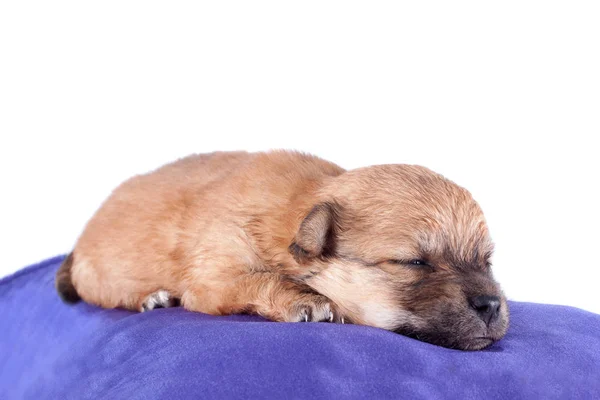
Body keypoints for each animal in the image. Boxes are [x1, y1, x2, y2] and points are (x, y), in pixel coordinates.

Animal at [56, 150, 508, 350]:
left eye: (486, 261)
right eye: (412, 262)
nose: (490, 304)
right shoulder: (215, 276)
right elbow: (260, 279)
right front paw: (307, 301)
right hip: (100, 275)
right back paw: (152, 297)